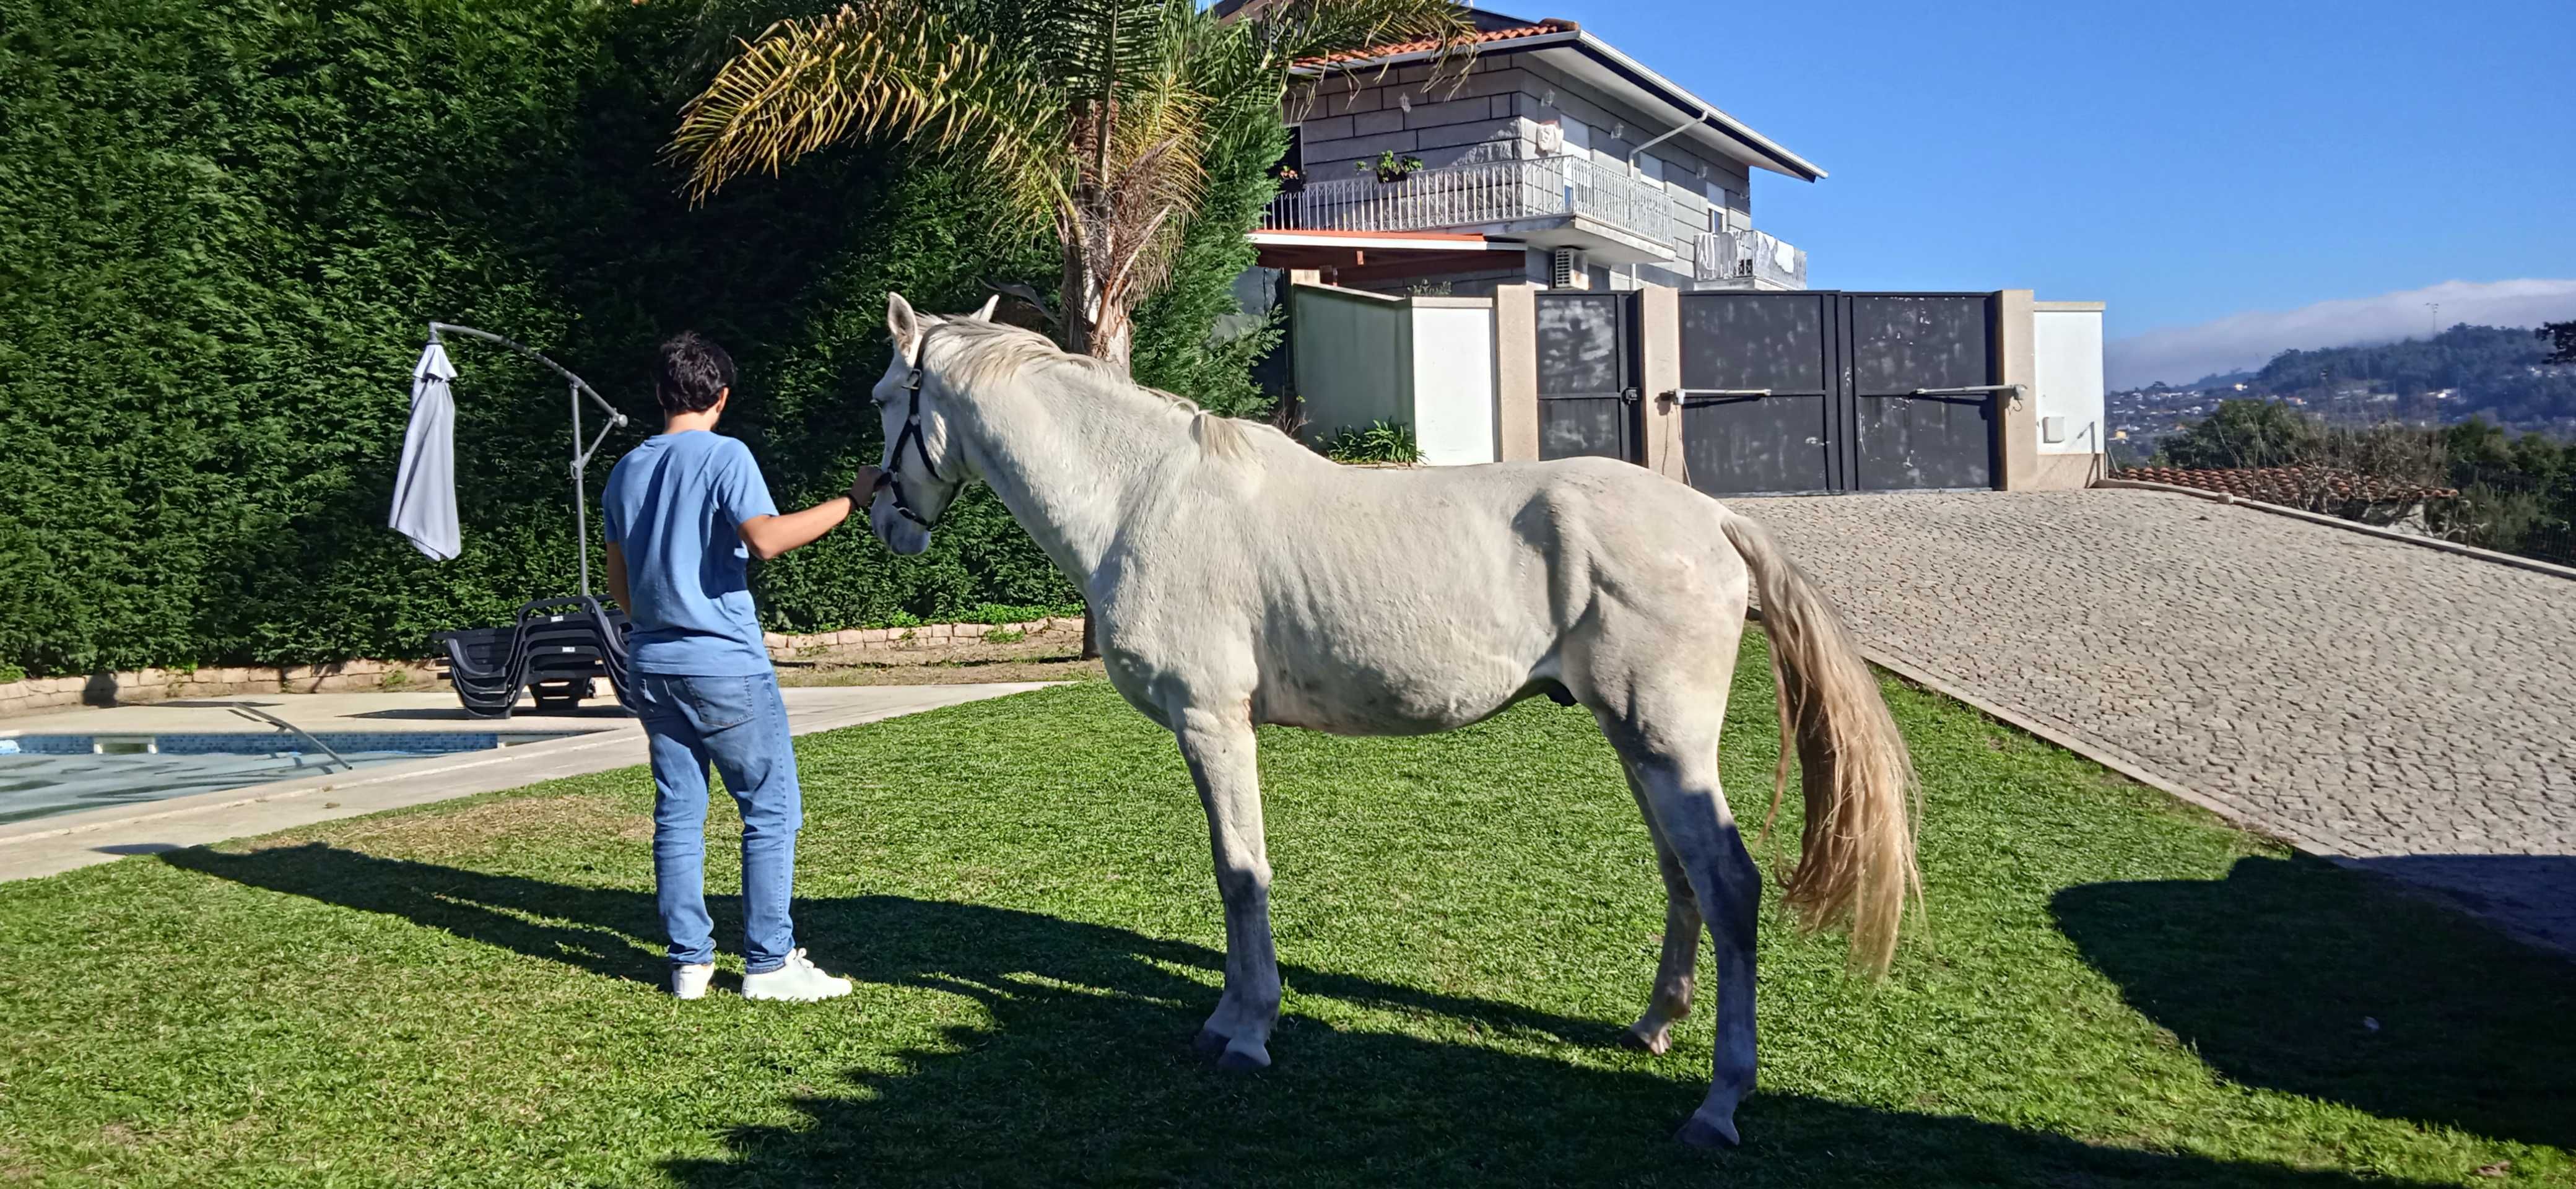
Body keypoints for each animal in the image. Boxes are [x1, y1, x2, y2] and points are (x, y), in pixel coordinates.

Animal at [865, 292, 1917, 1148]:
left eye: (883, 399)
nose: (883, 522)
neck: (1144, 498)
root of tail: (1711, 519)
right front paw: (1229, 1019)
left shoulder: (1213, 723)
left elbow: (1240, 874)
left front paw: (1245, 1031)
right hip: (1641, 745)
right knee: (1683, 876)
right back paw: (1655, 1025)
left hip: (1667, 745)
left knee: (1730, 885)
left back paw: (1719, 1104)